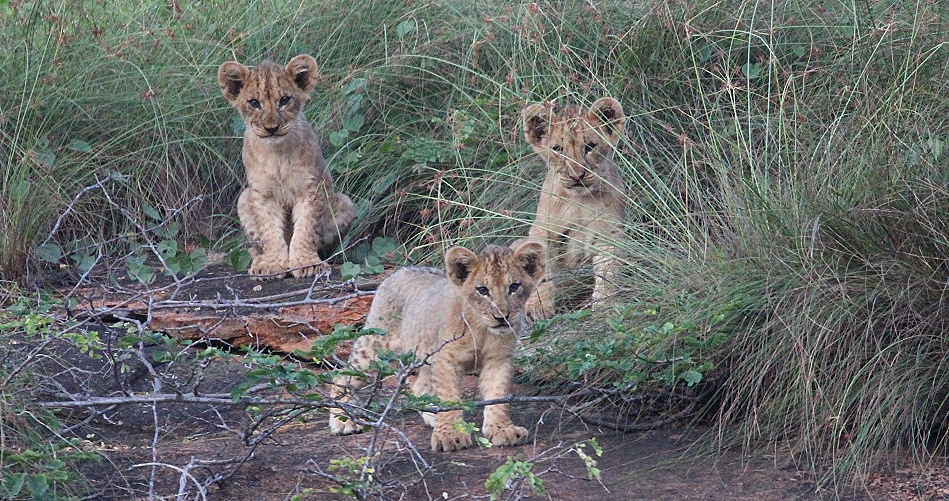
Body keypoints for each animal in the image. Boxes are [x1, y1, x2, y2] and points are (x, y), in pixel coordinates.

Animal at [217, 54, 355, 279]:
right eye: (254, 103)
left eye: (284, 100)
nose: (271, 128)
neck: (277, 154)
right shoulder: (262, 193)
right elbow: (269, 230)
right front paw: (272, 264)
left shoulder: (310, 188)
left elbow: (306, 229)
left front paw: (306, 263)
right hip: (243, 199)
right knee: (254, 247)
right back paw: (258, 260)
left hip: (345, 202)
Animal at [328, 241, 546, 452]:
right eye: (483, 290)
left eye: (514, 287)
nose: (501, 317)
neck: (482, 330)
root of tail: (400, 270)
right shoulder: (446, 358)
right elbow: (449, 396)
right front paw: (450, 434)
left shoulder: (499, 359)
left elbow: (498, 394)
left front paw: (502, 429)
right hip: (374, 347)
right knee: (342, 376)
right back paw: (343, 420)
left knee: (419, 385)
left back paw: (432, 414)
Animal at [520, 97, 627, 320]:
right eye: (558, 149)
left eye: (590, 146)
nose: (576, 176)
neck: (579, 201)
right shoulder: (542, 232)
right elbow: (541, 272)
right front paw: (538, 307)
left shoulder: (610, 233)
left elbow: (608, 269)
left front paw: (604, 303)